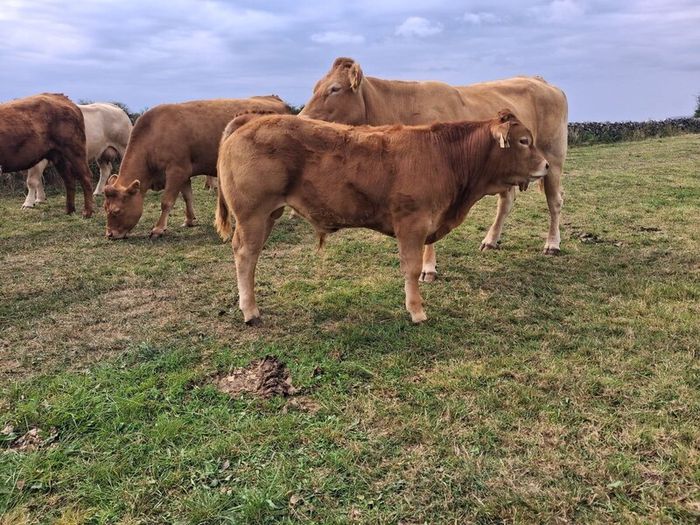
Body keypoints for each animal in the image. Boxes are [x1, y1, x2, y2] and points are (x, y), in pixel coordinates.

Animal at [103, 96, 291, 239]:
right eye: (105, 208)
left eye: (116, 211)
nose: (110, 234)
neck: (154, 133)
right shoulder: (185, 174)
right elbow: (187, 197)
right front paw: (189, 220)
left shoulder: (176, 171)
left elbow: (166, 202)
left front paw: (158, 228)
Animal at [215, 110, 549, 325]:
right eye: (523, 141)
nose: (546, 165)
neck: (444, 156)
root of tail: (251, 119)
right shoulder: (412, 224)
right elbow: (411, 269)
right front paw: (417, 311)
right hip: (253, 214)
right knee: (245, 255)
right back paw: (250, 311)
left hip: (268, 213)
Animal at [300, 57, 568, 281]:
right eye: (315, 87)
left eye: (335, 88)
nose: (302, 119)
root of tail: (541, 81)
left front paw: (427, 268)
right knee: (507, 200)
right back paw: (491, 240)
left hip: (552, 157)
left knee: (554, 201)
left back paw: (552, 244)